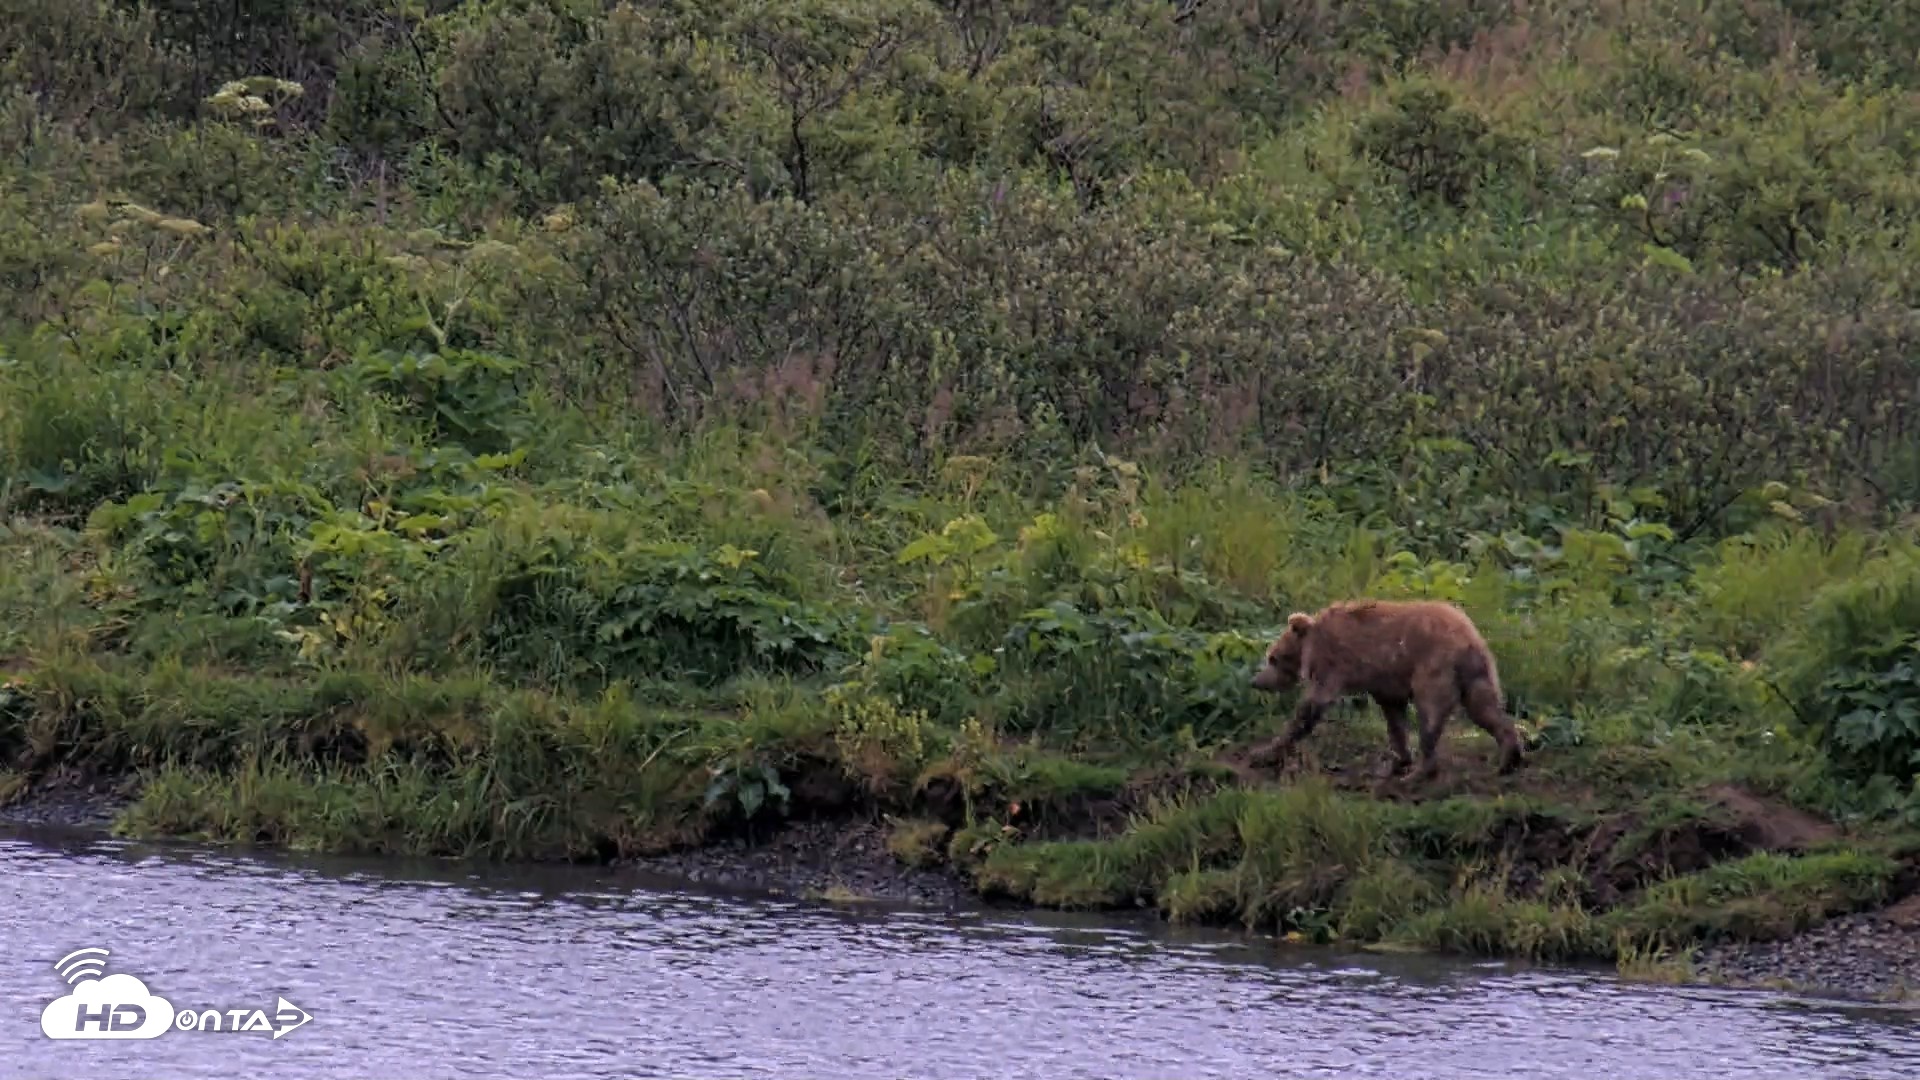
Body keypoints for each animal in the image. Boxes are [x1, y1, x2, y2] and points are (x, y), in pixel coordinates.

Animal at [1246, 598, 1524, 781]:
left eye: (1272, 657)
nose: (1256, 681)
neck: (1310, 643)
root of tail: (1469, 639)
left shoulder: (1333, 663)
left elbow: (1313, 704)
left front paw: (1263, 752)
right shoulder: (1384, 680)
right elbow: (1394, 716)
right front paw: (1397, 760)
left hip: (1434, 666)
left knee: (1430, 713)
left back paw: (1421, 771)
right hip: (1476, 673)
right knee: (1485, 708)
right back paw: (1508, 758)